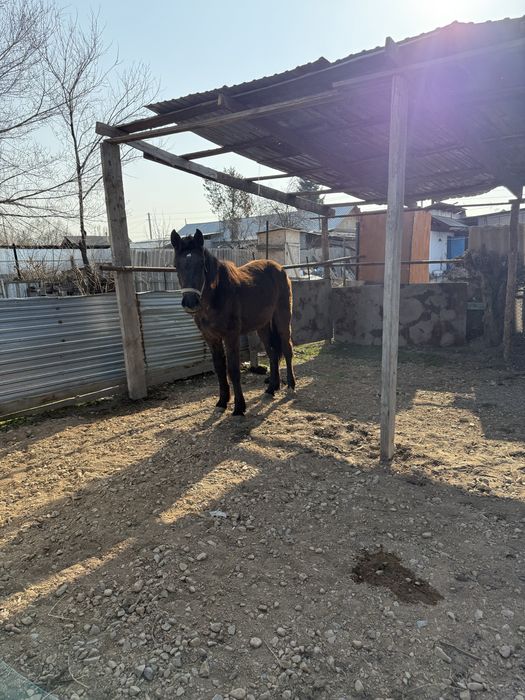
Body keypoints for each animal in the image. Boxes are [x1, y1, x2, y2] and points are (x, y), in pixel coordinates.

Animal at [171, 228, 295, 416]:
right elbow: (219, 368)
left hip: (282, 319)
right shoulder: (211, 338)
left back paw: (291, 385)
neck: (217, 295)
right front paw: (222, 402)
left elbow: (233, 369)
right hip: (263, 326)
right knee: (273, 354)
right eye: (176, 266)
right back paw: (271, 389)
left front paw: (239, 407)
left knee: (287, 349)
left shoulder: (231, 336)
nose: (191, 302)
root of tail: (279, 268)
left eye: (201, 264)